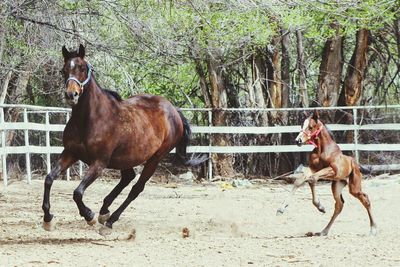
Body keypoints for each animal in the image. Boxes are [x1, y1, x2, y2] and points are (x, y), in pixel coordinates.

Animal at [41, 45, 205, 233]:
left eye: (82, 68)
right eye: (64, 70)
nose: (71, 95)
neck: (91, 118)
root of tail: (173, 111)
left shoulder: (99, 163)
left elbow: (78, 193)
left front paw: (89, 215)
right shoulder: (70, 153)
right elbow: (49, 179)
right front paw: (48, 219)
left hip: (155, 159)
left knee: (136, 188)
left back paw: (110, 220)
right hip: (126, 158)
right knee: (128, 177)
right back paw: (104, 211)